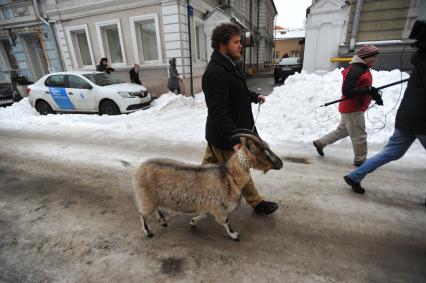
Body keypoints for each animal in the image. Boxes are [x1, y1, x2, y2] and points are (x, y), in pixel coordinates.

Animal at [123, 131, 282, 242]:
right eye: (265, 152)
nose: (281, 163)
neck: (228, 176)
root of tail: (136, 169)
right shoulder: (218, 207)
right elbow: (226, 221)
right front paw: (234, 235)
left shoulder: (209, 205)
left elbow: (204, 214)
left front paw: (193, 223)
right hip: (145, 196)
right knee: (142, 214)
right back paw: (148, 232)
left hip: (151, 197)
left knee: (154, 209)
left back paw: (162, 221)